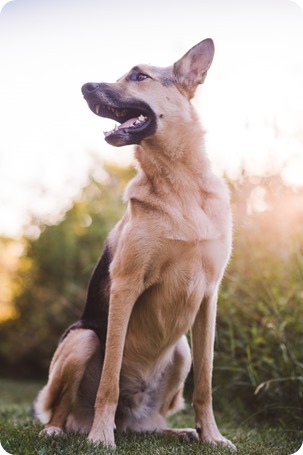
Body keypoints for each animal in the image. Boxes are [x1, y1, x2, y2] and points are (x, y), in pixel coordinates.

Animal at [34, 39, 236, 452]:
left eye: (139, 76)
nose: (85, 87)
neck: (179, 185)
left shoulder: (209, 297)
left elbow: (205, 385)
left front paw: (212, 435)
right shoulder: (126, 287)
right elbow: (109, 380)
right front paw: (100, 437)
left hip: (182, 350)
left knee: (150, 422)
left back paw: (176, 430)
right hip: (83, 339)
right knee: (63, 408)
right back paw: (63, 429)